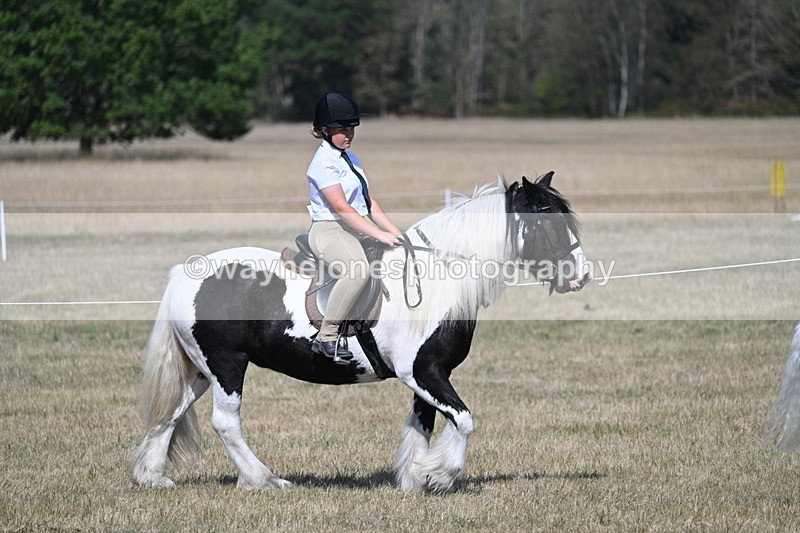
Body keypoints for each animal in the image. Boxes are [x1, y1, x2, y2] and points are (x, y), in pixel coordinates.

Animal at [128, 172, 591, 492]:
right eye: (547, 220)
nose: (582, 275)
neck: (436, 277)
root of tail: (187, 274)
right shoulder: (424, 372)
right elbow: (463, 420)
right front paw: (440, 475)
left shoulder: (426, 375)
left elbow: (422, 425)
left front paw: (413, 480)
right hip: (226, 365)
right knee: (226, 423)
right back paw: (264, 480)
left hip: (201, 369)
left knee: (172, 411)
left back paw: (153, 477)